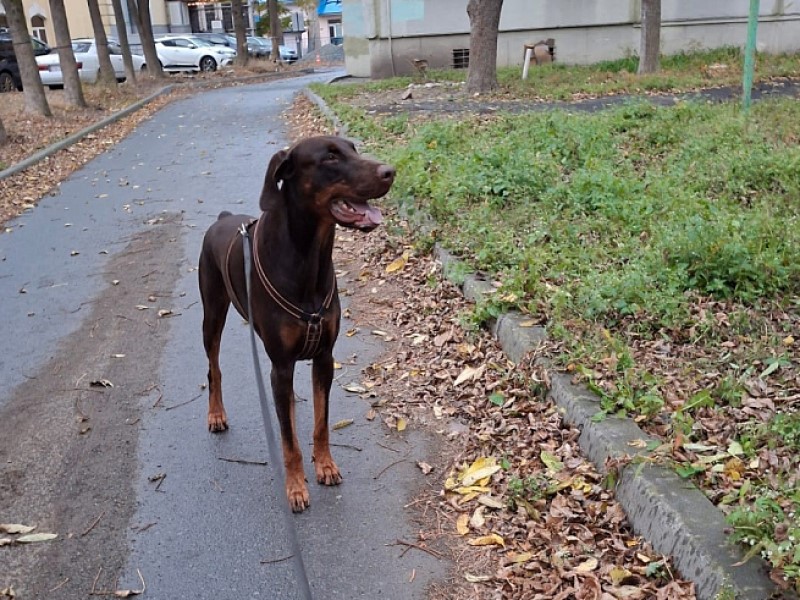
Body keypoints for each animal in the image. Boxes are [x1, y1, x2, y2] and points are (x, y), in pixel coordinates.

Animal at [195, 135, 392, 510]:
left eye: (354, 148)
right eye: (329, 156)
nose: (390, 171)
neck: (309, 259)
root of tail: (222, 219)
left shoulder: (324, 357)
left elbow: (321, 423)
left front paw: (325, 465)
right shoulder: (281, 365)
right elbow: (288, 442)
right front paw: (297, 486)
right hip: (212, 313)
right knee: (213, 368)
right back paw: (216, 414)